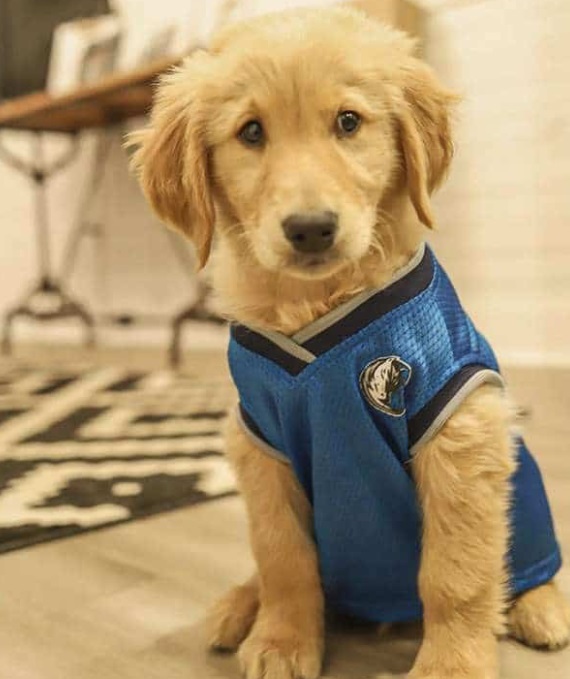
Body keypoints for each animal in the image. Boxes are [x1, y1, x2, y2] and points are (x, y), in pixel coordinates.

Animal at [130, 6, 568, 679]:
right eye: (251, 133)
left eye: (348, 122)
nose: (311, 229)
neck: (318, 302)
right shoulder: (260, 443)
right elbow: (282, 557)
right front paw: (282, 639)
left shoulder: (459, 432)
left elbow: (457, 572)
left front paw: (452, 664)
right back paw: (240, 605)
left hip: (527, 496)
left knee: (527, 560)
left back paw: (542, 605)